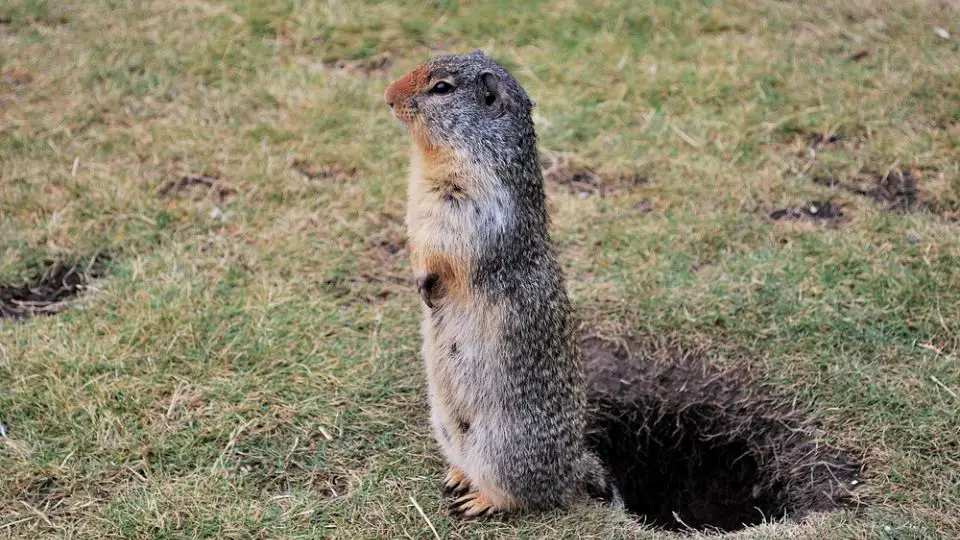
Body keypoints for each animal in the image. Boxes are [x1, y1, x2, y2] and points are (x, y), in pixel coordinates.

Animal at [386, 51, 612, 520]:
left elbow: (446, 248)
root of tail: (574, 469)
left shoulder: (471, 202)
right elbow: (415, 236)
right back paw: (458, 477)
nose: (387, 97)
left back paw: (479, 501)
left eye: (442, 88)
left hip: (505, 447)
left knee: (523, 496)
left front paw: (427, 283)